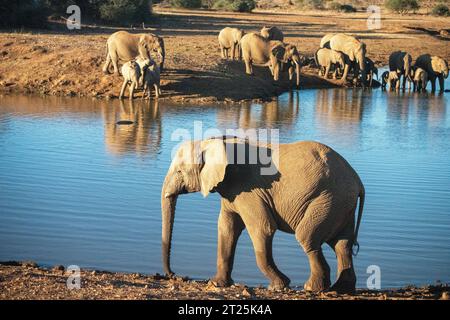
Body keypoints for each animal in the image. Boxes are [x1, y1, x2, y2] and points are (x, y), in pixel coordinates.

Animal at [162, 138, 366, 292]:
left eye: (179, 171)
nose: (174, 275)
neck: (214, 142)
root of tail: (358, 181)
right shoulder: (231, 192)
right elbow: (227, 228)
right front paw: (217, 283)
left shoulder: (249, 191)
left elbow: (262, 228)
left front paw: (279, 286)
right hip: (341, 204)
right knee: (342, 244)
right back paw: (341, 288)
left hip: (328, 199)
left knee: (307, 237)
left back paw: (312, 288)